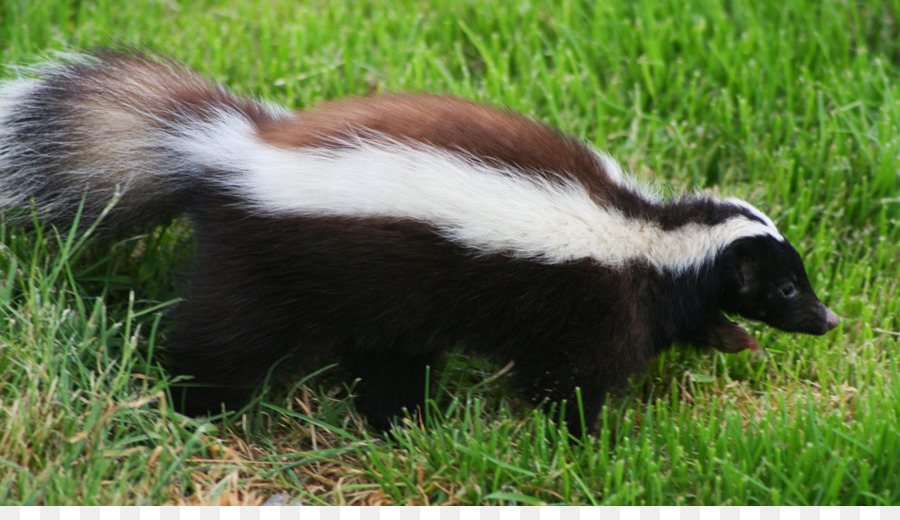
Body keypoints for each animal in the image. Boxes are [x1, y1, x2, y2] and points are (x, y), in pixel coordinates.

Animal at [0, 50, 844, 432]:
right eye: (785, 286)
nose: (829, 319)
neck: (652, 234)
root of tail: (229, 150)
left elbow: (687, 320)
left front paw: (732, 338)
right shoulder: (594, 308)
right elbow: (573, 381)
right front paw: (588, 440)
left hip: (381, 306)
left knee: (386, 367)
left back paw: (398, 425)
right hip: (272, 273)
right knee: (222, 342)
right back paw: (192, 407)